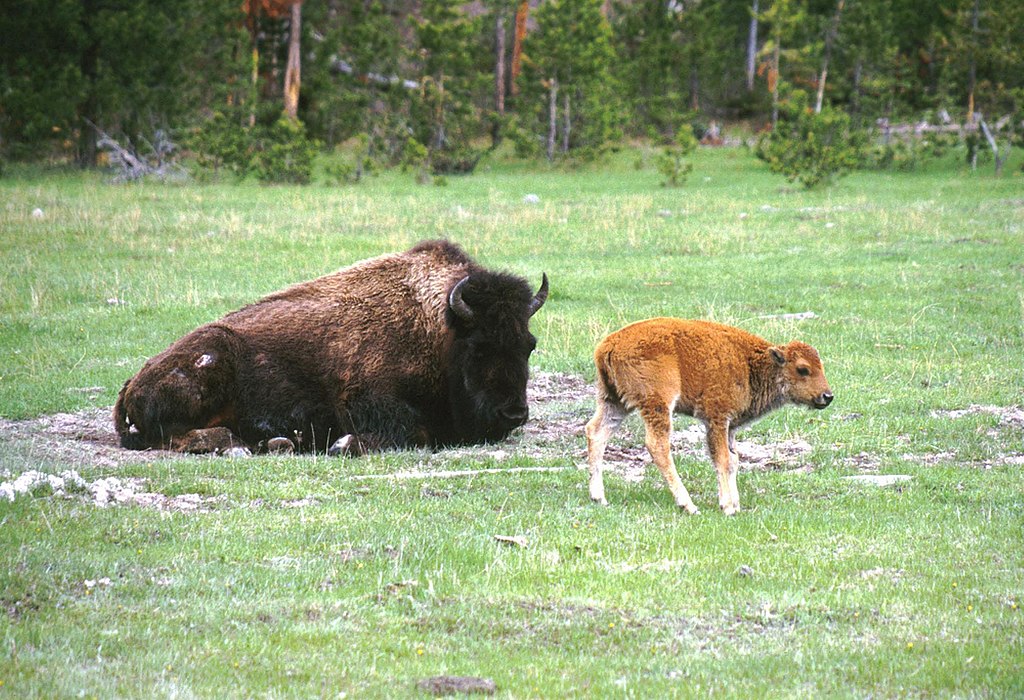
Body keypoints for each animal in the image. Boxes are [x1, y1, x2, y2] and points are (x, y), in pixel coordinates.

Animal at [114, 240, 548, 456]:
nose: (514, 413)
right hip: (208, 369)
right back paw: (241, 446)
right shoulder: (364, 401)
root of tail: (133, 381)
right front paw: (342, 444)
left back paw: (277, 443)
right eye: (479, 347)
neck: (438, 327)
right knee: (176, 436)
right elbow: (412, 431)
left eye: (528, 345)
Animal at [585, 318, 832, 515]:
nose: (827, 396)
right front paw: (728, 507)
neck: (751, 364)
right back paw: (688, 505)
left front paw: (735, 503)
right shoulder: (717, 419)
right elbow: (722, 459)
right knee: (658, 445)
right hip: (658, 403)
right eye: (802, 369)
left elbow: (733, 460)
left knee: (595, 432)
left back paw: (599, 497)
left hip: (614, 401)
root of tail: (608, 346)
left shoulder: (730, 426)